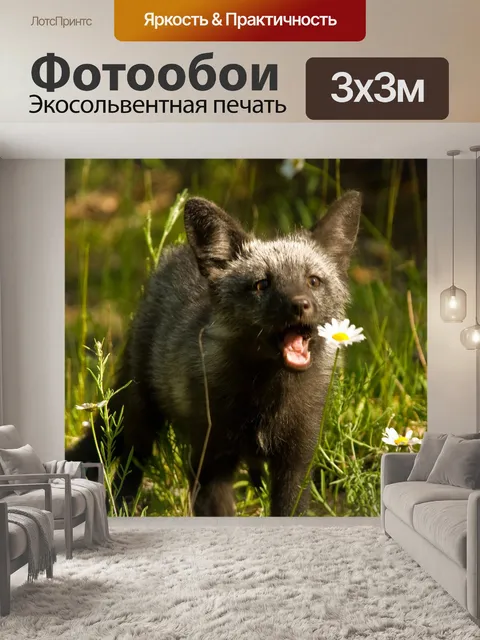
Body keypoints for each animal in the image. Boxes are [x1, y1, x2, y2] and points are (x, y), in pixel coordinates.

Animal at [66, 191, 362, 516]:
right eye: (262, 284)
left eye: (313, 281)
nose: (300, 304)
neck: (267, 404)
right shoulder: (210, 462)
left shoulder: (296, 463)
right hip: (141, 418)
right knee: (129, 468)